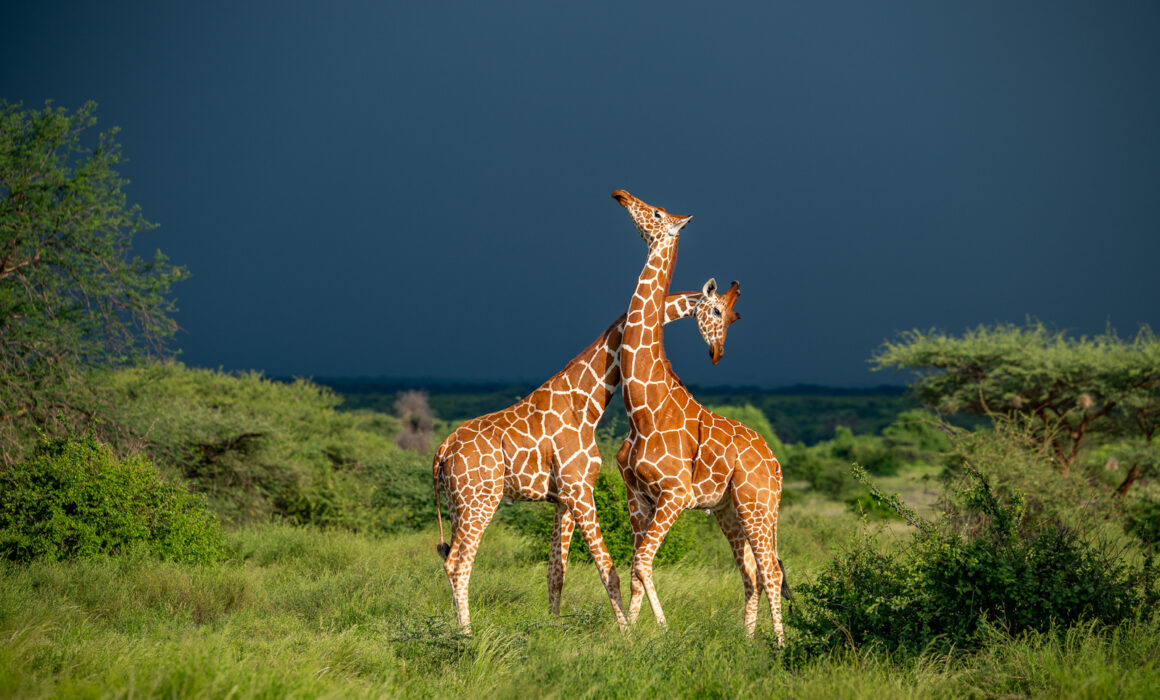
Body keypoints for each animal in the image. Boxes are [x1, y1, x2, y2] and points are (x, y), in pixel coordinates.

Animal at [432, 287, 741, 633]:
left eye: (734, 317)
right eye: (716, 311)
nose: (717, 352)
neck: (586, 404)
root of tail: (443, 449)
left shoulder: (563, 498)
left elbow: (556, 573)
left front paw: (553, 630)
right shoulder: (579, 490)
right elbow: (607, 568)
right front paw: (626, 633)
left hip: (458, 504)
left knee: (450, 560)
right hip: (480, 501)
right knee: (459, 563)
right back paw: (466, 633)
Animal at [611, 189, 787, 645]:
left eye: (656, 213)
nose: (622, 195)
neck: (642, 407)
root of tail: (776, 465)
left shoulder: (675, 494)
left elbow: (642, 563)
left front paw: (663, 630)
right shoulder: (638, 496)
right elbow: (634, 568)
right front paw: (629, 639)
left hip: (759, 505)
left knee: (772, 570)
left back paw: (783, 646)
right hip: (730, 510)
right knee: (751, 573)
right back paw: (747, 641)